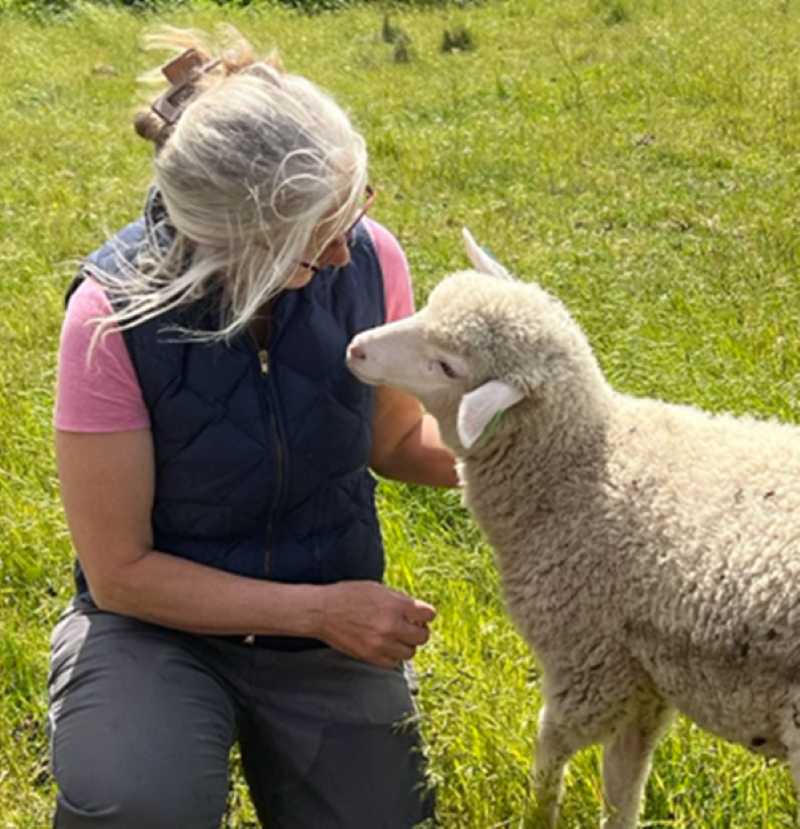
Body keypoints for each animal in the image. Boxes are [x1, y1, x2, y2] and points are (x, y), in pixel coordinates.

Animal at [346, 229, 800, 828]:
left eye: (446, 366)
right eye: (427, 305)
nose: (355, 347)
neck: (577, 466)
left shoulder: (586, 658)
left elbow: (552, 747)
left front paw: (537, 812)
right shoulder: (642, 673)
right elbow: (624, 776)